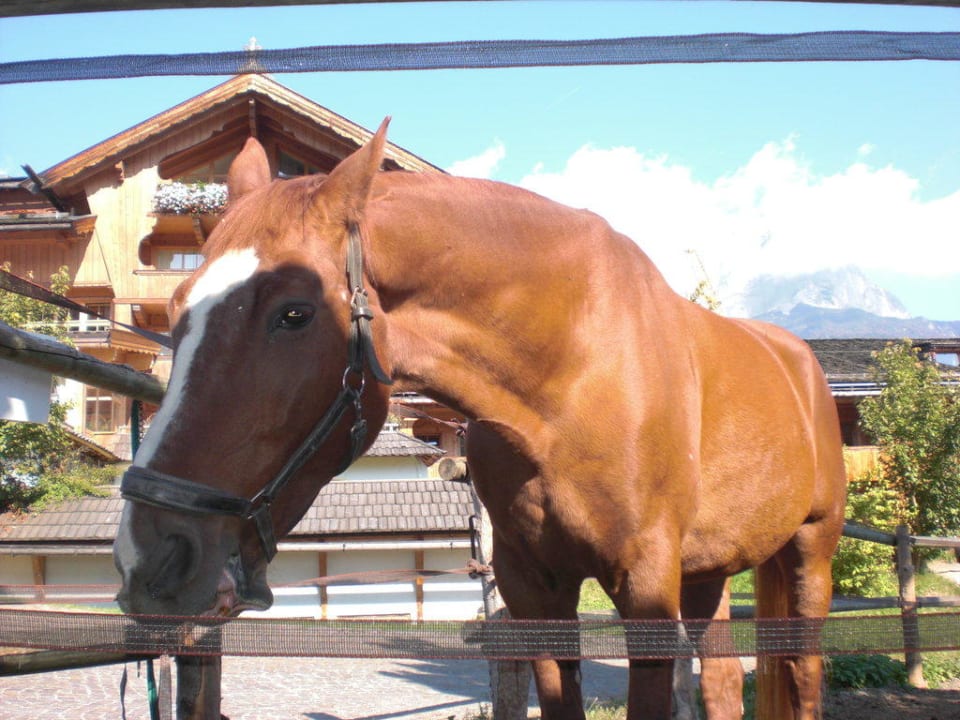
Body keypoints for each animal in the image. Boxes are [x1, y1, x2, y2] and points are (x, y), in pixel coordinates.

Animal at [113, 119, 847, 720]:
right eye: (176, 307)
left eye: (294, 312)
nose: (147, 558)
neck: (571, 378)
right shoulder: (533, 590)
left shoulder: (644, 587)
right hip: (710, 573)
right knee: (722, 683)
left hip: (809, 553)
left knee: (804, 675)